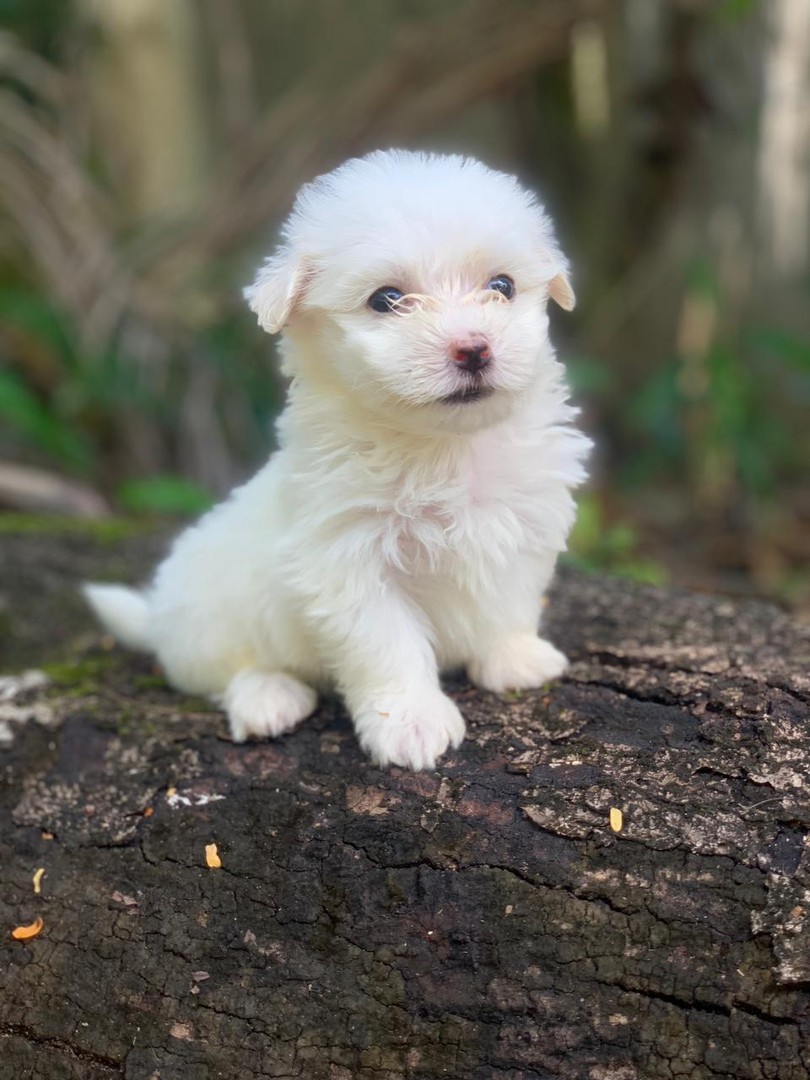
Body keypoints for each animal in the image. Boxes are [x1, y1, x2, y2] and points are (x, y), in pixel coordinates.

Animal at [84, 150, 591, 768]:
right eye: (386, 299)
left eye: (502, 286)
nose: (473, 347)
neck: (442, 446)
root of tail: (156, 617)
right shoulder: (348, 560)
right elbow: (387, 644)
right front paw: (411, 722)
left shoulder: (526, 524)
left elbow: (510, 600)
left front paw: (514, 656)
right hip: (209, 620)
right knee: (226, 672)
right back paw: (267, 697)